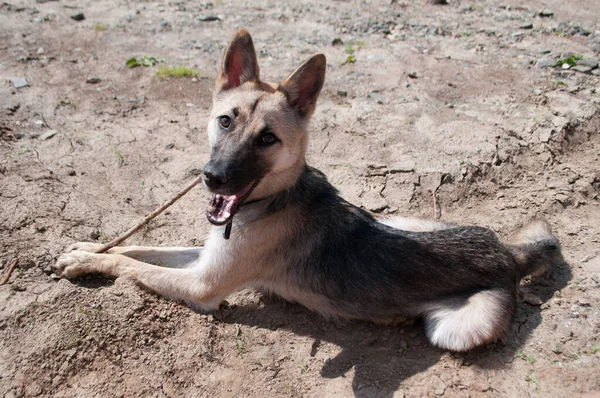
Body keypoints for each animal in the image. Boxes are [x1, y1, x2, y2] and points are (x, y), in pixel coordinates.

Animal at [54, 28, 564, 352]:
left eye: (267, 139)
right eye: (225, 121)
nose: (213, 177)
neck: (269, 201)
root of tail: (506, 252)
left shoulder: (204, 285)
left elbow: (131, 264)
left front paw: (91, 261)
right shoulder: (204, 258)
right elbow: (139, 248)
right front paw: (86, 250)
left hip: (455, 328)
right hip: (403, 219)